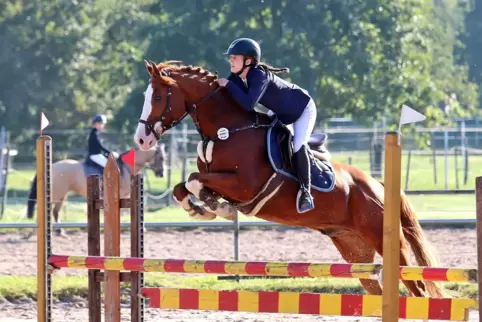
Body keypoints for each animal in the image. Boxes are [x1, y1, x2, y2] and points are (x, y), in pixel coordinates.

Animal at [26, 145, 167, 234]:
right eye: (161, 158)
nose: (161, 174)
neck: (126, 167)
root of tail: (52, 166)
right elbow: (123, 212)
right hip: (57, 193)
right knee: (46, 209)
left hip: (62, 195)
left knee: (55, 211)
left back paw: (59, 231)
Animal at [133, 59, 444, 298]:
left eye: (158, 97)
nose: (141, 140)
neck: (228, 129)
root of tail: (379, 186)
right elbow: (182, 185)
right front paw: (201, 208)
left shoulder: (244, 186)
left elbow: (195, 179)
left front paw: (215, 207)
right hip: (355, 250)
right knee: (375, 287)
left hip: (387, 240)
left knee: (417, 288)